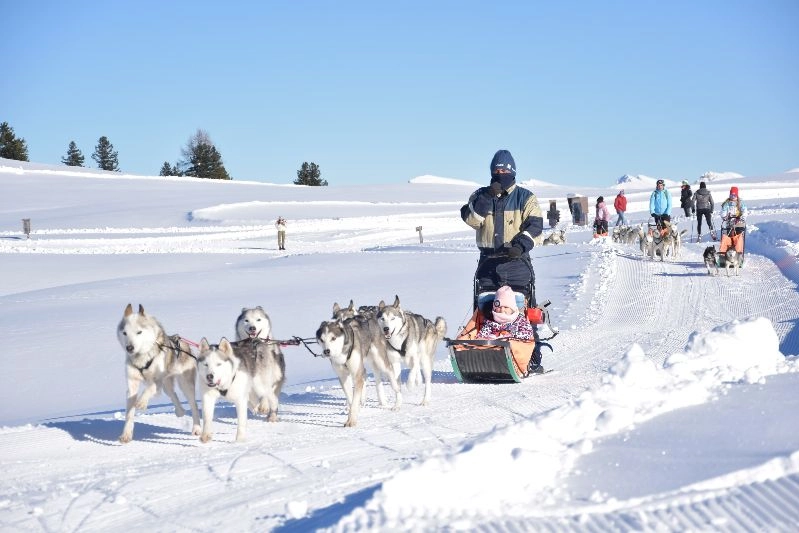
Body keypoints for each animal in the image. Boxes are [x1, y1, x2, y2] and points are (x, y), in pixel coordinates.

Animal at [116, 302, 202, 442]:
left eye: (139, 332)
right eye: (125, 333)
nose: (129, 348)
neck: (142, 358)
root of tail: (184, 343)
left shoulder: (157, 381)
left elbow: (149, 388)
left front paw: (141, 402)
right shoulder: (132, 384)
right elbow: (129, 412)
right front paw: (126, 434)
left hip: (185, 384)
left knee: (193, 405)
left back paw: (197, 428)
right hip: (167, 384)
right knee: (173, 394)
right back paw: (180, 411)